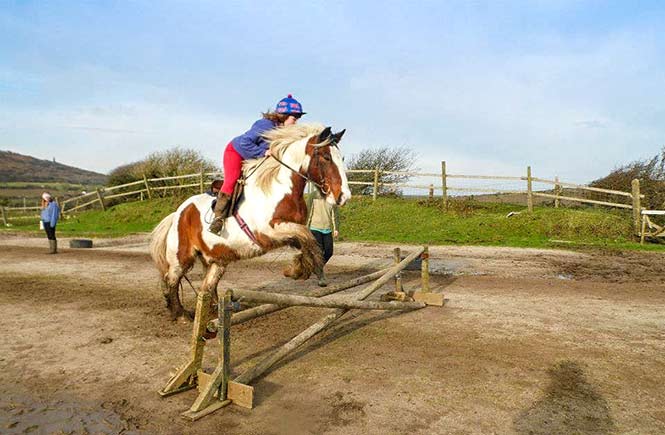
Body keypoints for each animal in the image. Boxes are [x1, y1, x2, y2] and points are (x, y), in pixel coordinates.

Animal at [148, 124, 350, 322]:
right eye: (326, 157)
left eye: (342, 158)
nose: (344, 196)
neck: (280, 189)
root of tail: (178, 213)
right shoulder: (267, 232)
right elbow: (306, 236)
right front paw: (298, 270)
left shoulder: (289, 233)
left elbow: (307, 241)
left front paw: (299, 268)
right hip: (181, 258)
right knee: (171, 280)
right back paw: (180, 315)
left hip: (217, 260)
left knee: (207, 286)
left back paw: (213, 312)